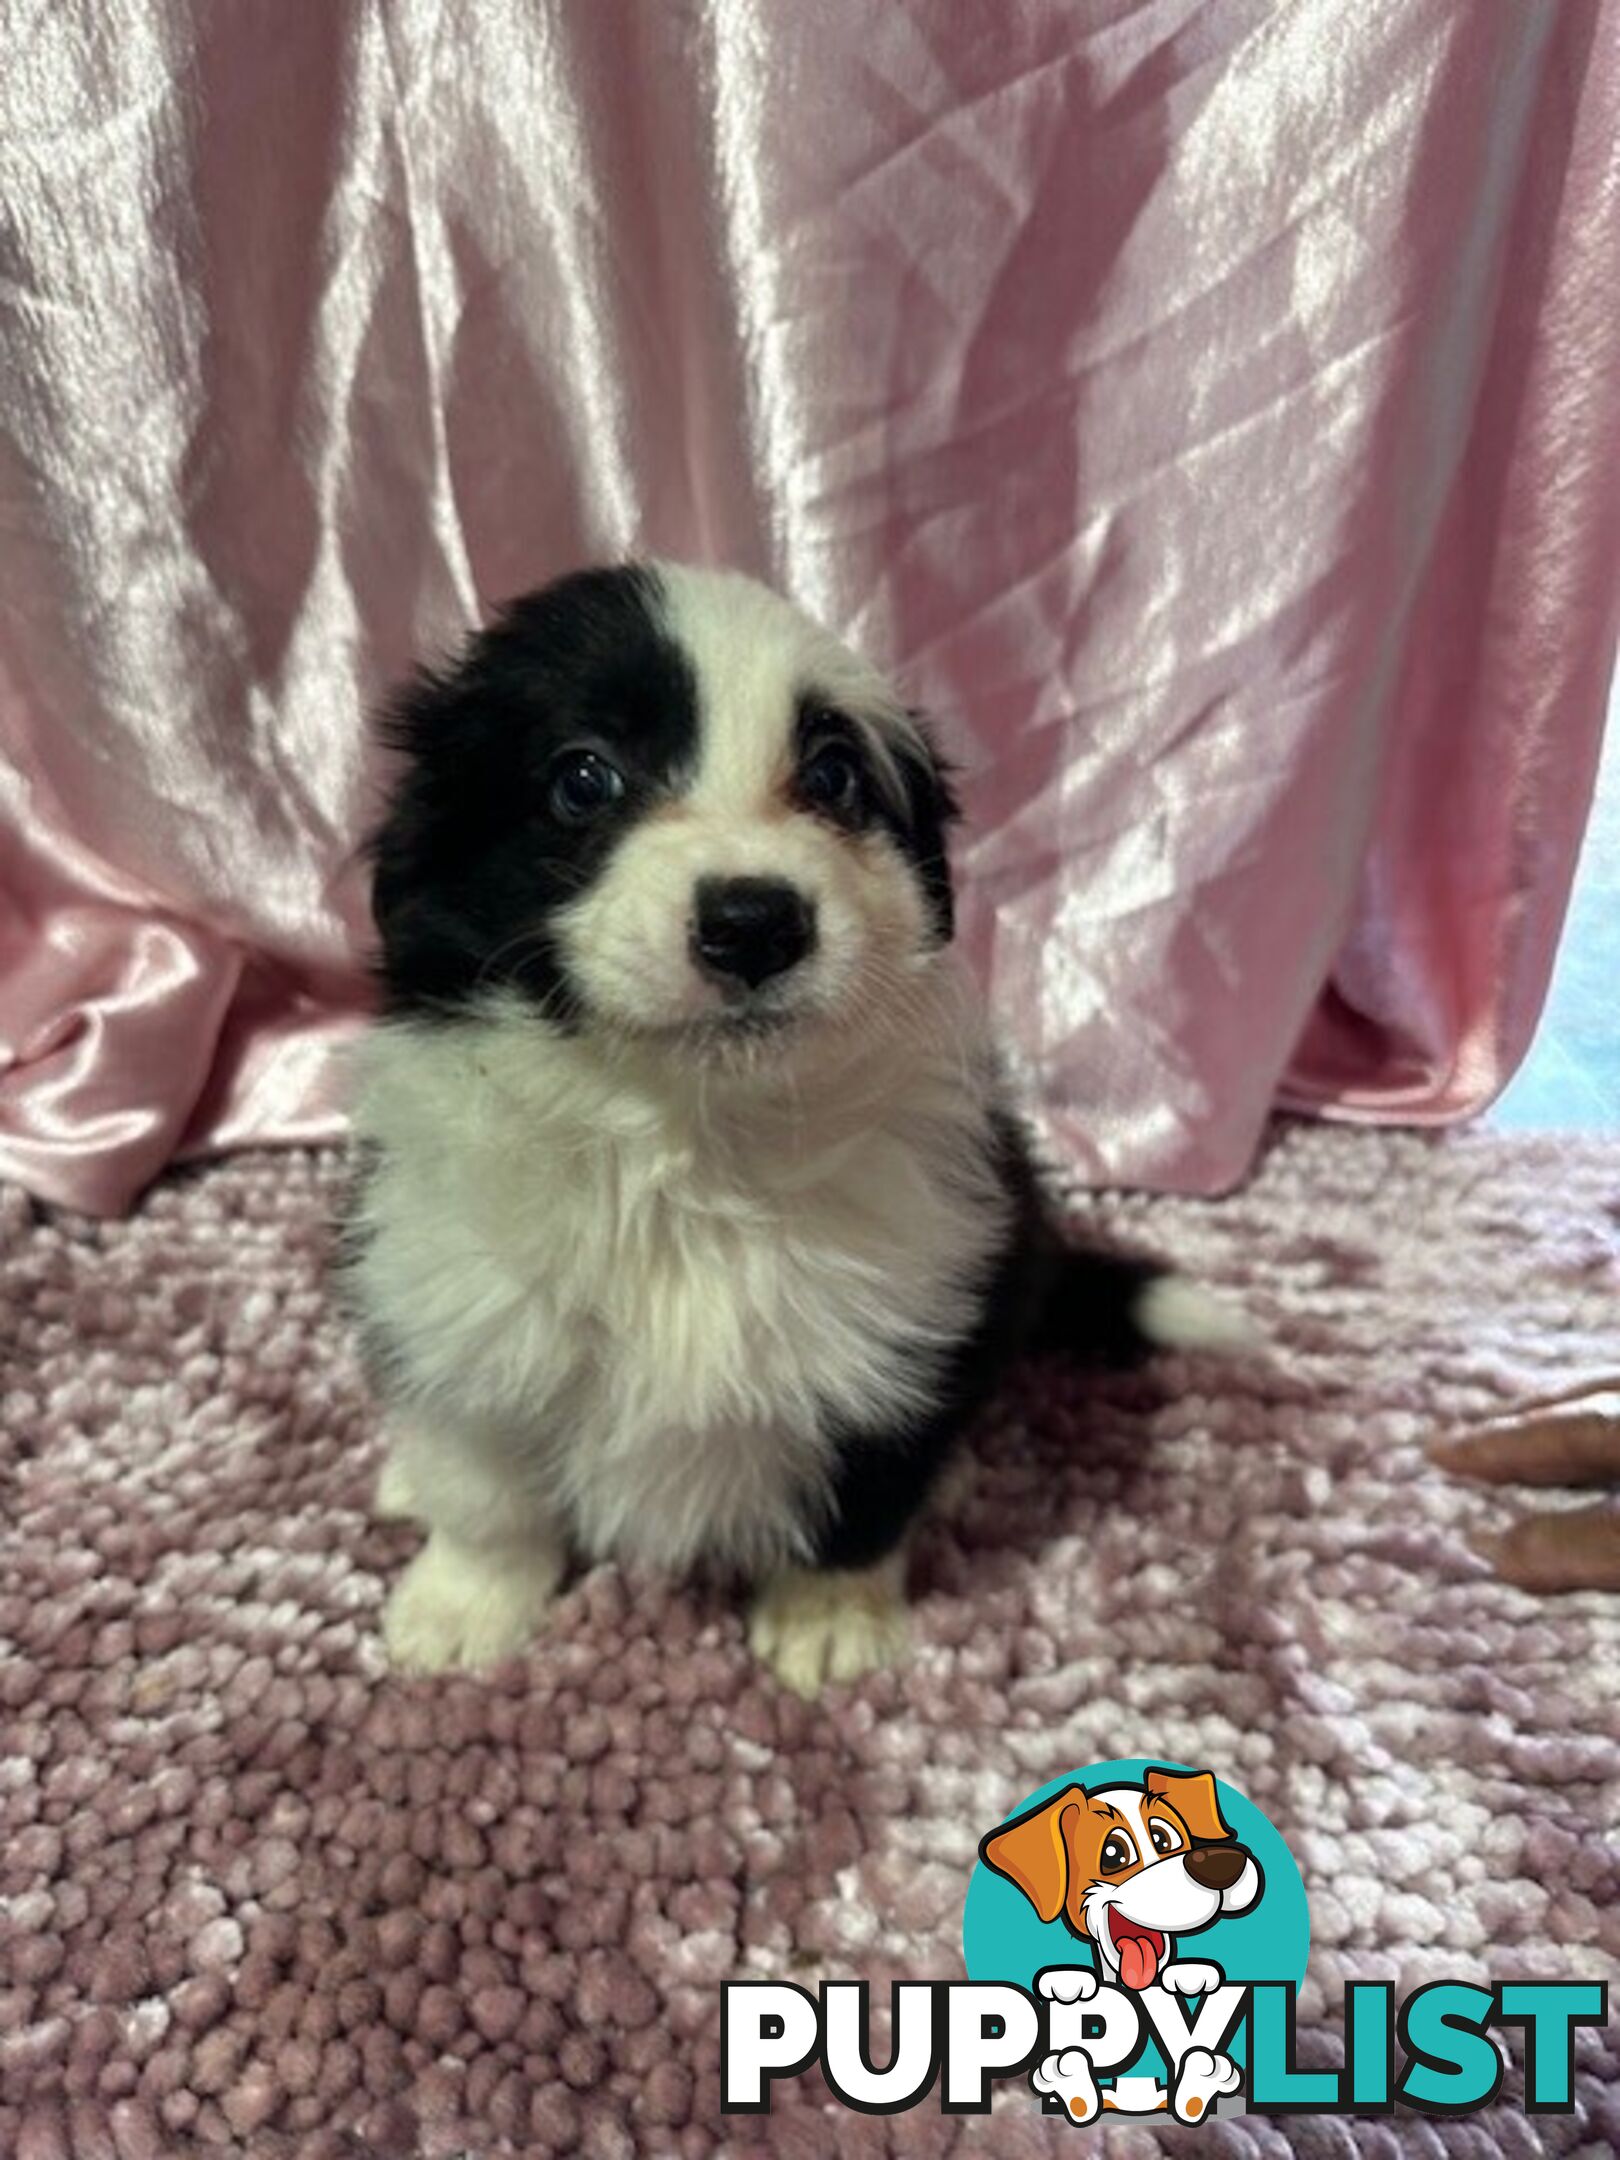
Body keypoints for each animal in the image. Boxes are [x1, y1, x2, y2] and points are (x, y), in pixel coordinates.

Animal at [345, 565, 1244, 1693]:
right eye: (583, 779)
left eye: (833, 778)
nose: (754, 922)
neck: (689, 1142)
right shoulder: (452, 1295)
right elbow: (485, 1484)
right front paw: (463, 1607)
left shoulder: (916, 1307)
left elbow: (865, 1490)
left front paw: (828, 1620)